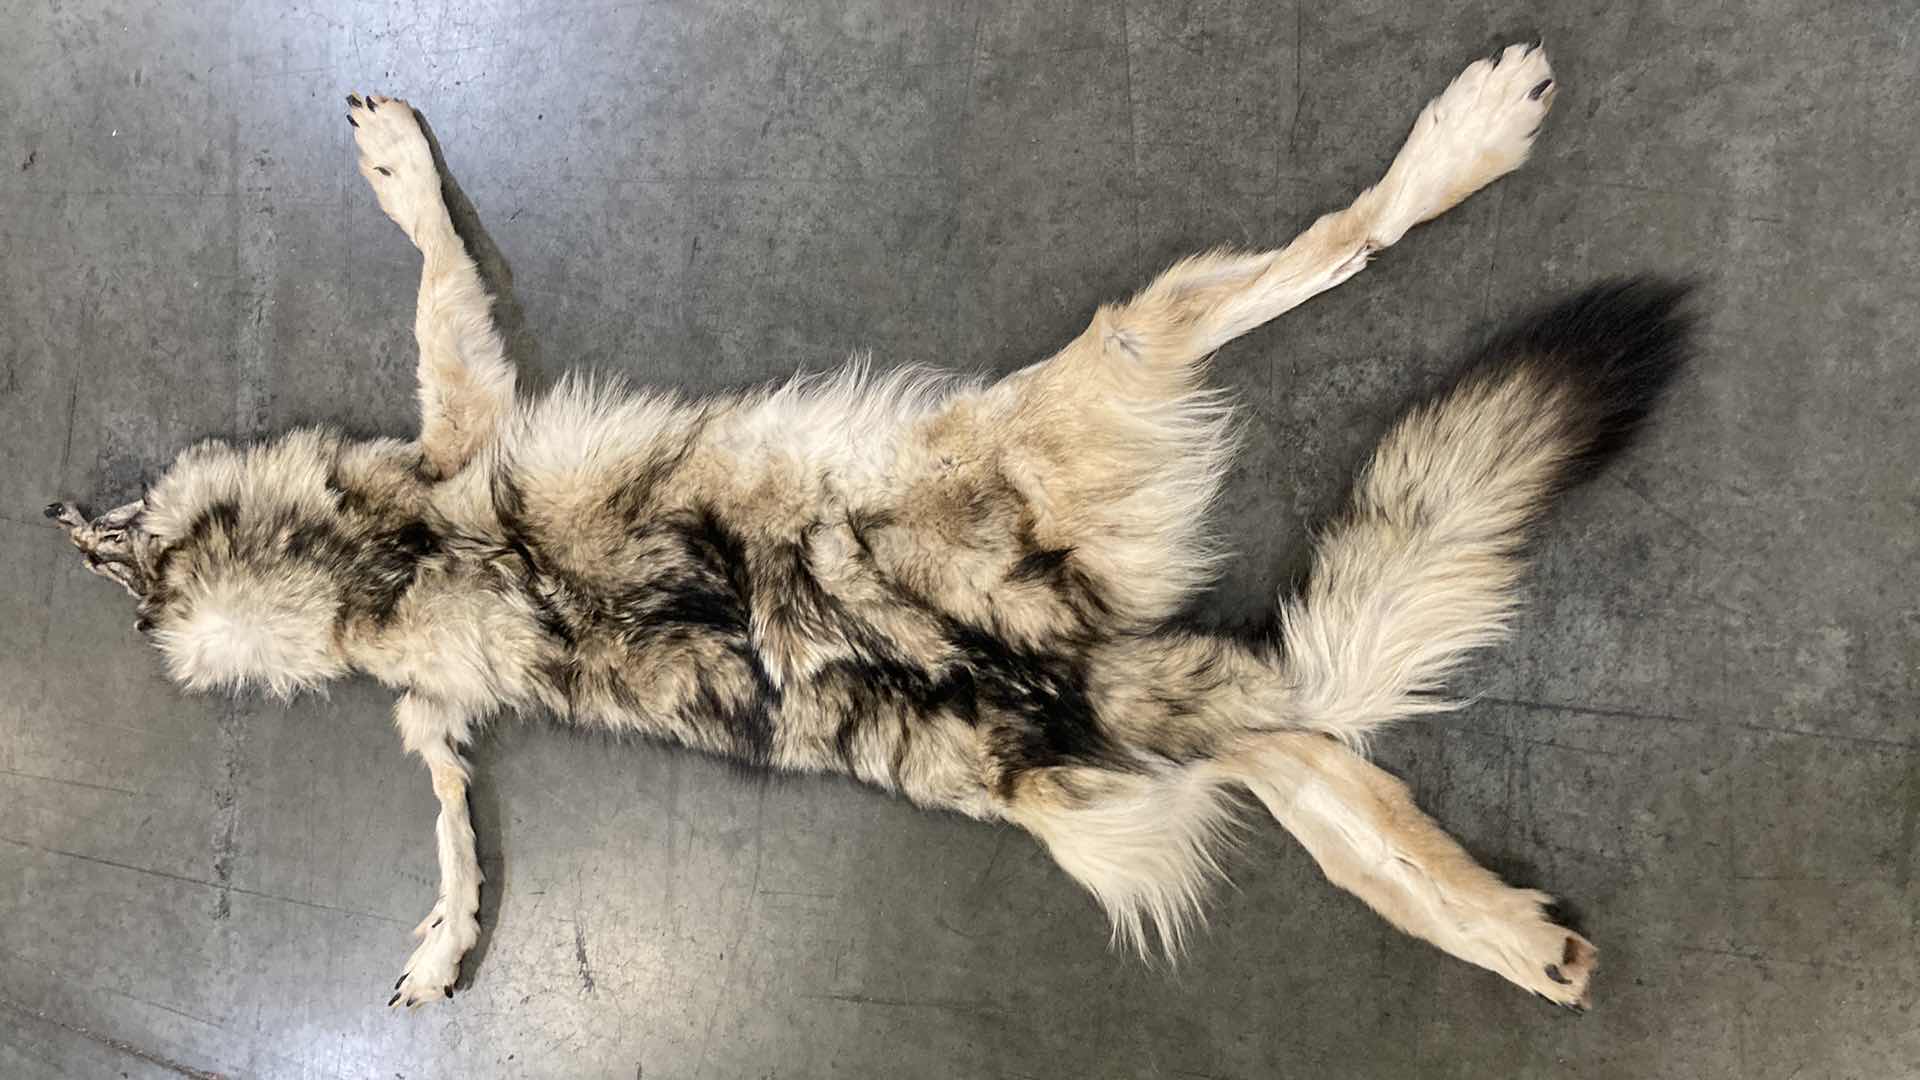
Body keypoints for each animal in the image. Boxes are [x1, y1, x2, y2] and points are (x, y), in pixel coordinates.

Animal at [47, 43, 1690, 1011]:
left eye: (133, 555)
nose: (68, 518)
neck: (360, 573)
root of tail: (1087, 672)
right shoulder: (437, 706)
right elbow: (456, 834)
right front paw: (451, 941)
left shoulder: (458, 421)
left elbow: (436, 261)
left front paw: (395, 160)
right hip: (1124, 753)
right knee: (1327, 783)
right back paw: (1519, 939)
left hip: (1129, 348)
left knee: (1347, 236)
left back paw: (1472, 132)